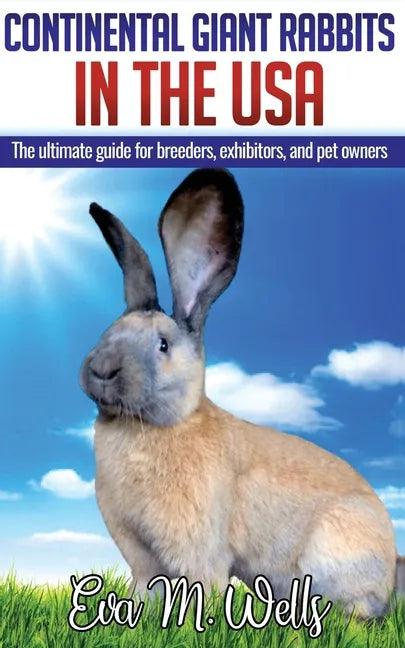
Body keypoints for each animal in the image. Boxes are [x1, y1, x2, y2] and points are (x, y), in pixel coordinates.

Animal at [80, 168, 399, 619]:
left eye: (163, 345)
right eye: (107, 332)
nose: (102, 369)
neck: (155, 425)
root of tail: (391, 565)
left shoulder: (197, 547)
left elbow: (201, 587)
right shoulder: (139, 553)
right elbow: (146, 589)